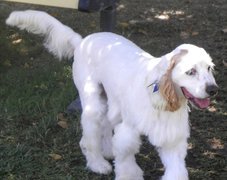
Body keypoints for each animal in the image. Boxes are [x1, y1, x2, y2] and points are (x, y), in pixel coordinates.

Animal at [6, 10, 217, 180]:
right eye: (191, 71)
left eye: (209, 68)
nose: (213, 89)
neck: (158, 93)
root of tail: (82, 41)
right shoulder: (128, 132)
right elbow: (126, 162)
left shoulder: (171, 139)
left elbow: (176, 171)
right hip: (92, 102)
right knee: (88, 139)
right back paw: (98, 164)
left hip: (109, 101)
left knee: (106, 126)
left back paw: (107, 150)